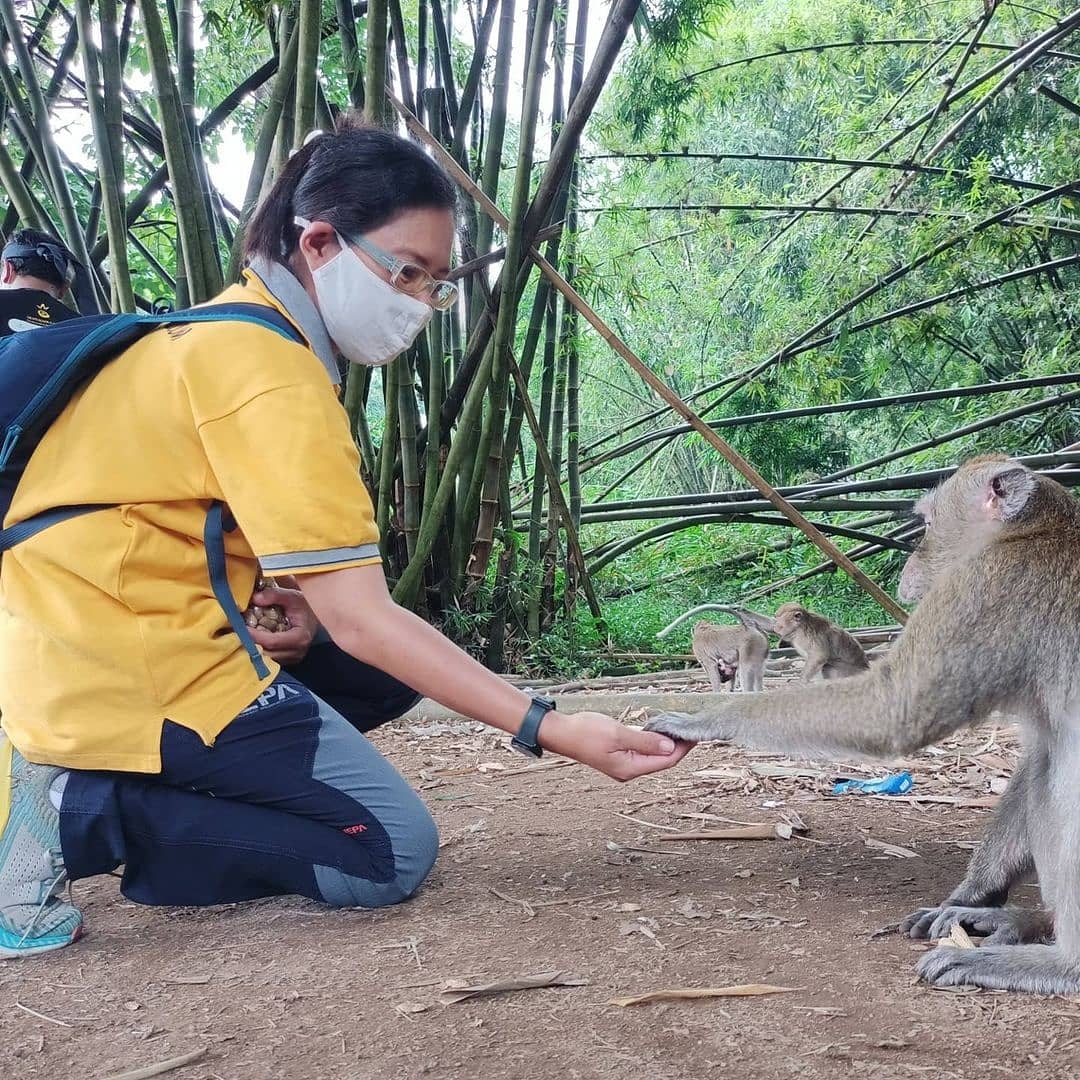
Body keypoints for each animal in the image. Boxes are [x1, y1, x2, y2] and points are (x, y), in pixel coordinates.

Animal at [643, 455, 1080, 994]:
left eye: (927, 524)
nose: (909, 567)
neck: (1033, 532)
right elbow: (1036, 756)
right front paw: (972, 896)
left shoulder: (991, 590)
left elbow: (894, 709)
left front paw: (707, 718)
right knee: (1047, 768)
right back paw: (1029, 923)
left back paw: (1060, 963)